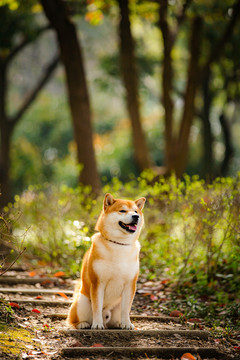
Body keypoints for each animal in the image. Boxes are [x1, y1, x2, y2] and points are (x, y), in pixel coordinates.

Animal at [67, 194, 146, 330]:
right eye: (122, 211)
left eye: (136, 211)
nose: (135, 217)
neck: (119, 244)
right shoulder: (98, 282)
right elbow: (97, 307)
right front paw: (97, 324)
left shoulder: (130, 284)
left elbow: (126, 309)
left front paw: (127, 323)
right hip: (82, 301)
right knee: (73, 319)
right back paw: (83, 324)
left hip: (117, 306)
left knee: (116, 317)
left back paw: (119, 323)